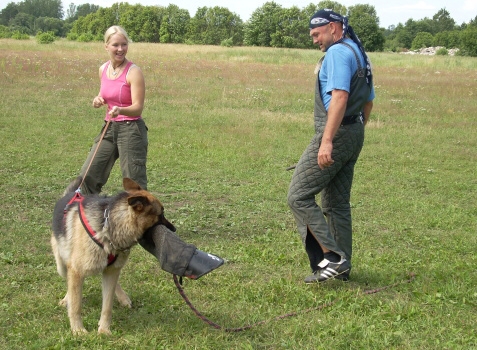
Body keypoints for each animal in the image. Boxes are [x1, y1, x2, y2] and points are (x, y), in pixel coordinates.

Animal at [51, 176, 171, 334]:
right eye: (160, 214)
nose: (174, 229)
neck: (108, 226)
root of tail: (72, 194)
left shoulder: (111, 271)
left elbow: (107, 305)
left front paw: (104, 330)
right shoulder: (76, 271)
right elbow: (76, 305)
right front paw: (78, 330)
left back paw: (123, 298)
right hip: (62, 266)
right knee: (69, 284)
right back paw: (67, 299)